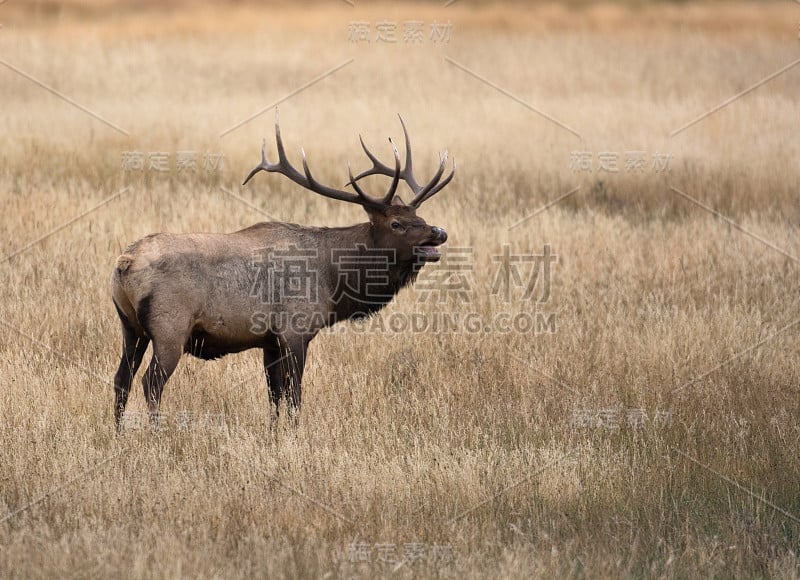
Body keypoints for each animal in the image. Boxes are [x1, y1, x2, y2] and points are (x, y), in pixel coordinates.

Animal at [110, 114, 454, 430]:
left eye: (420, 216)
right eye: (397, 223)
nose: (439, 232)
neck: (334, 282)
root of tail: (124, 264)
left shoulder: (270, 340)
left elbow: (274, 395)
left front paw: (276, 435)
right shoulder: (294, 329)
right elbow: (294, 394)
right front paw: (296, 435)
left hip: (131, 328)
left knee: (121, 379)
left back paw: (119, 435)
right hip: (170, 327)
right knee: (151, 382)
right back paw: (158, 435)